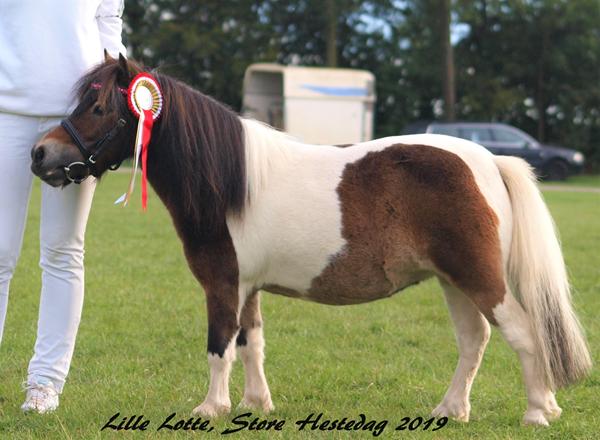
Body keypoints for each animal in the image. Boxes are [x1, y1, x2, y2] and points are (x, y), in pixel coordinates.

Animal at [31, 53, 592, 424]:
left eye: (99, 107)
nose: (40, 154)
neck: (230, 180)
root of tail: (489, 161)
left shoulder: (222, 284)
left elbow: (219, 347)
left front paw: (210, 408)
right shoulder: (248, 288)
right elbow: (251, 344)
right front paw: (256, 405)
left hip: (478, 278)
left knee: (524, 333)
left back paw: (537, 412)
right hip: (453, 281)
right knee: (474, 342)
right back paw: (451, 410)